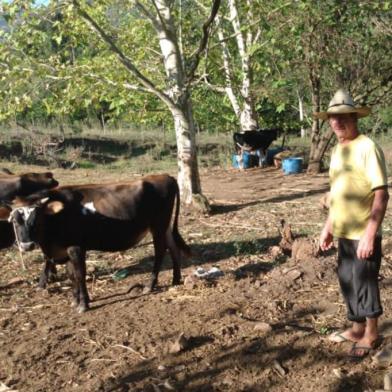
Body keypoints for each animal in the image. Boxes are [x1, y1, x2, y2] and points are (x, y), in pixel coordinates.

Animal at [3, 175, 190, 312]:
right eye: (15, 221)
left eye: (37, 218)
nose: (27, 245)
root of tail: (164, 176)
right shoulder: (66, 249)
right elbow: (71, 275)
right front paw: (75, 300)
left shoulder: (76, 248)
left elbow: (79, 275)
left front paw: (83, 305)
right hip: (164, 226)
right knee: (173, 247)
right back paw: (176, 279)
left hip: (158, 225)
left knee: (160, 251)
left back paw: (150, 285)